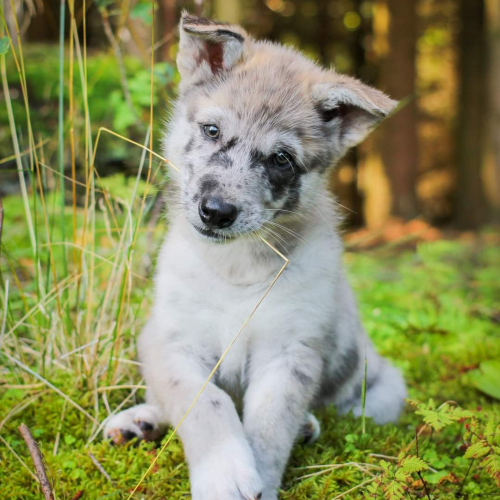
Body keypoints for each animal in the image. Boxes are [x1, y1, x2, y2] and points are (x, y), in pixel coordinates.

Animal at [105, 12, 406, 500]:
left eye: (281, 159)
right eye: (212, 130)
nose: (216, 212)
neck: (235, 269)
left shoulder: (289, 353)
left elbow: (267, 425)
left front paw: (257, 474)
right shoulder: (172, 342)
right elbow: (206, 402)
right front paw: (224, 472)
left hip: (382, 391)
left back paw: (307, 426)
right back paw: (140, 422)